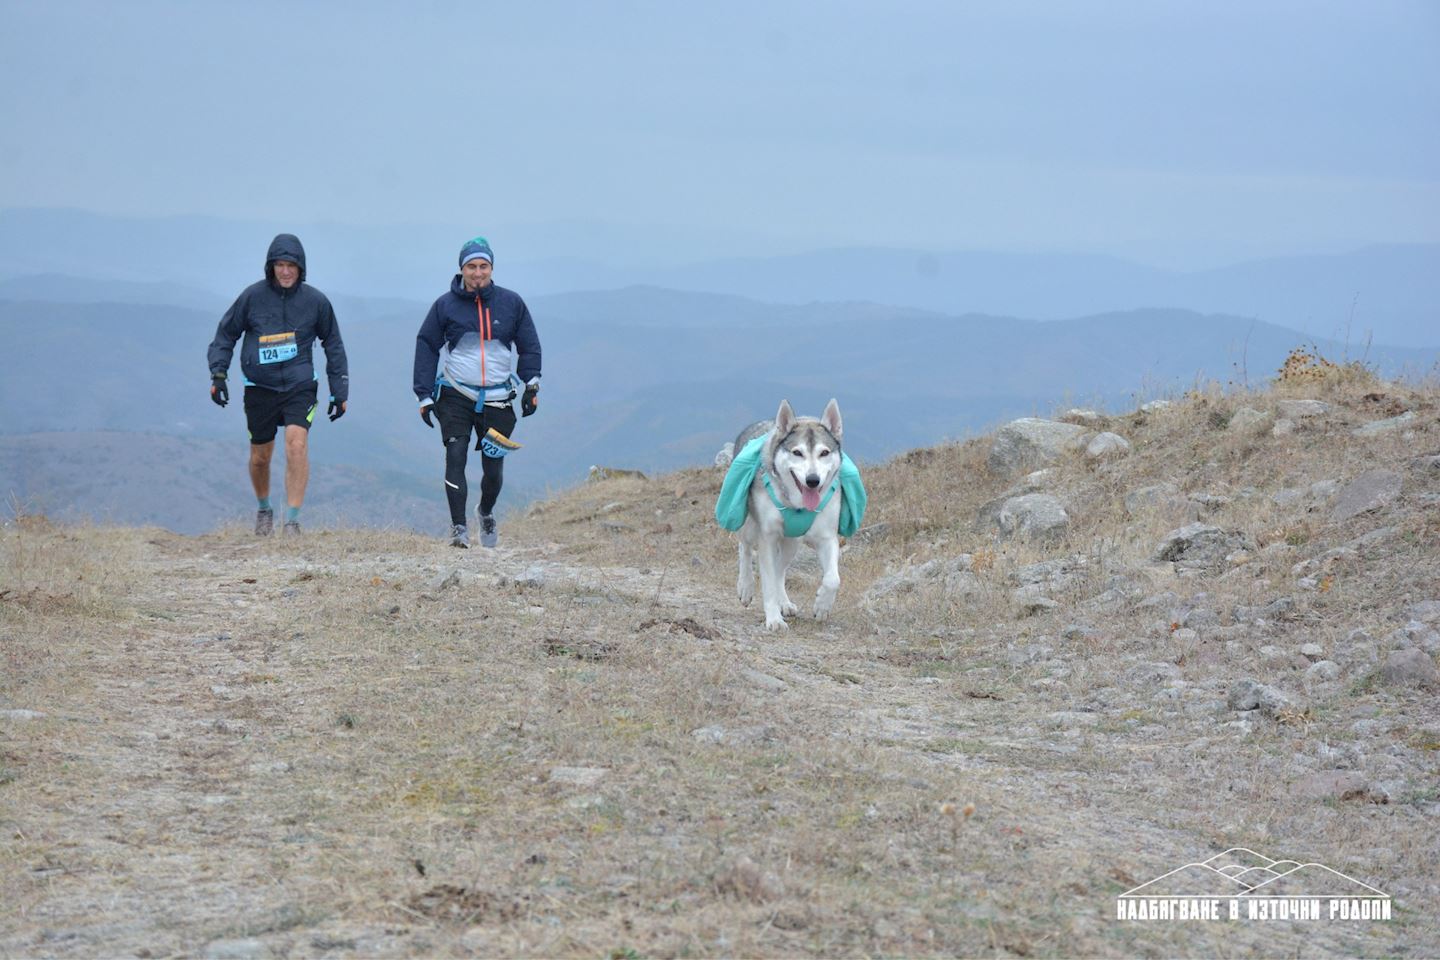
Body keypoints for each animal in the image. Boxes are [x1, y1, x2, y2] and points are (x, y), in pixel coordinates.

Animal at [731, 397, 840, 630]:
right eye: (797, 452)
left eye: (824, 452)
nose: (812, 480)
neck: (796, 504)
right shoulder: (767, 537)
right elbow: (768, 582)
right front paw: (773, 619)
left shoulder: (827, 537)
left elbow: (833, 579)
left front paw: (822, 606)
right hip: (750, 527)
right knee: (745, 548)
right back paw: (745, 587)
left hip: (793, 542)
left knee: (780, 569)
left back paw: (785, 603)